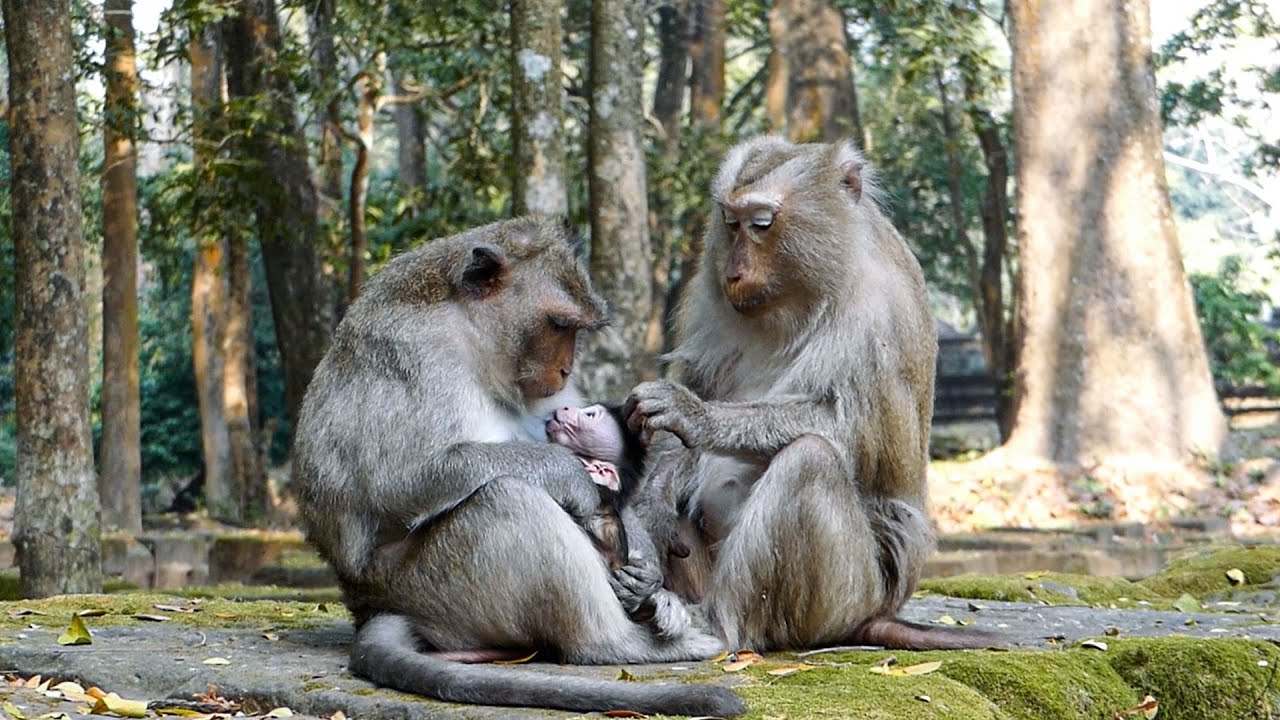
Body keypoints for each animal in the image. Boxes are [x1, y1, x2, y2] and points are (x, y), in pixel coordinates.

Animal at [626, 136, 1001, 653]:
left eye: (762, 224)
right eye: (730, 222)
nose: (733, 272)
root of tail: (877, 612)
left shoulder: (876, 315)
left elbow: (857, 438)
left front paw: (697, 416)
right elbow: (696, 394)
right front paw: (654, 495)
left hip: (849, 593)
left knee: (811, 461)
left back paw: (716, 625)